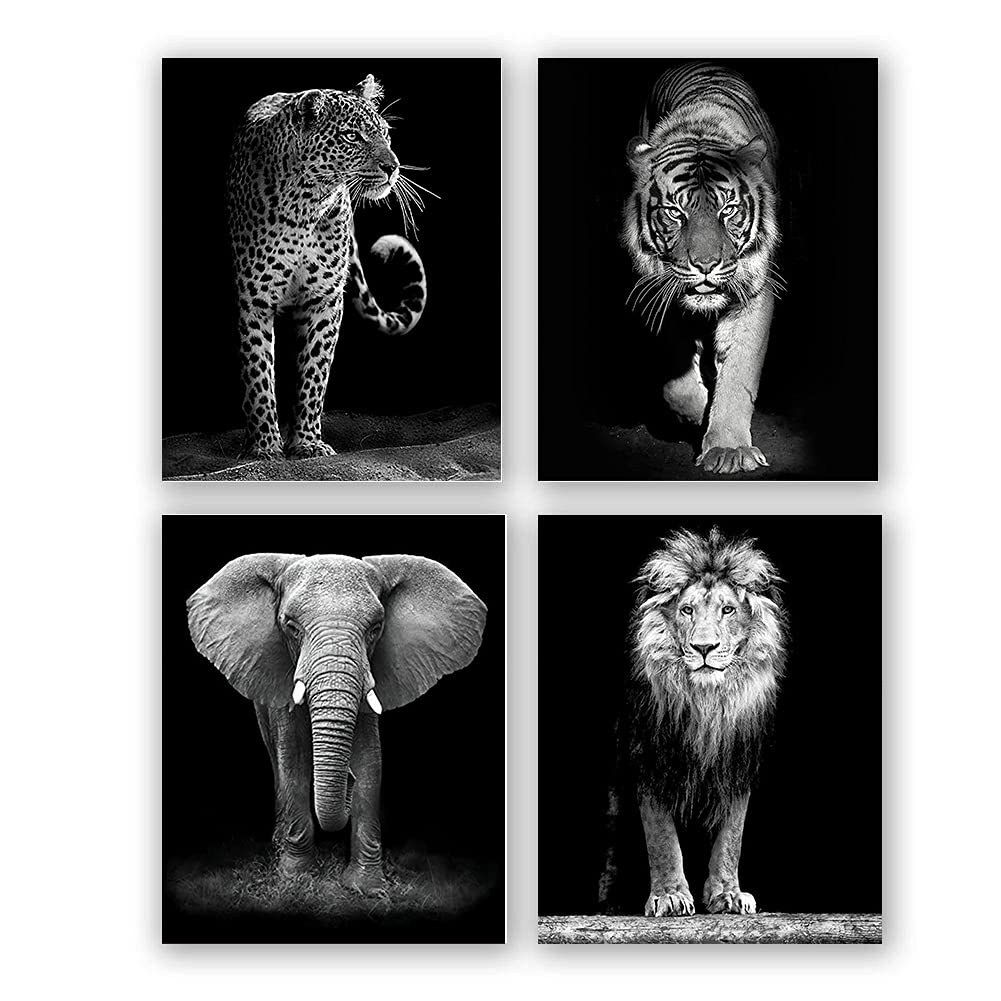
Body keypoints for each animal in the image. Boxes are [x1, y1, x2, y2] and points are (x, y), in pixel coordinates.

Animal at [186, 551, 487, 896]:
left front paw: (367, 888)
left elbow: (371, 761)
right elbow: (294, 760)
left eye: (376, 628)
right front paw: (296, 879)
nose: (348, 779)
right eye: (290, 626)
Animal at [598, 526, 787, 916]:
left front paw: (727, 895)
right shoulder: (651, 761)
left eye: (728, 609)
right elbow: (661, 838)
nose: (704, 648)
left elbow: (731, 837)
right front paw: (669, 895)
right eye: (687, 610)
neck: (707, 704)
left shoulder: (737, 764)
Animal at [622, 62, 782, 474]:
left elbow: (739, 373)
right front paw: (695, 413)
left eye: (728, 209)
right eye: (675, 212)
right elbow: (675, 377)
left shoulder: (754, 293)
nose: (706, 265)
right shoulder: (658, 290)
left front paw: (728, 449)